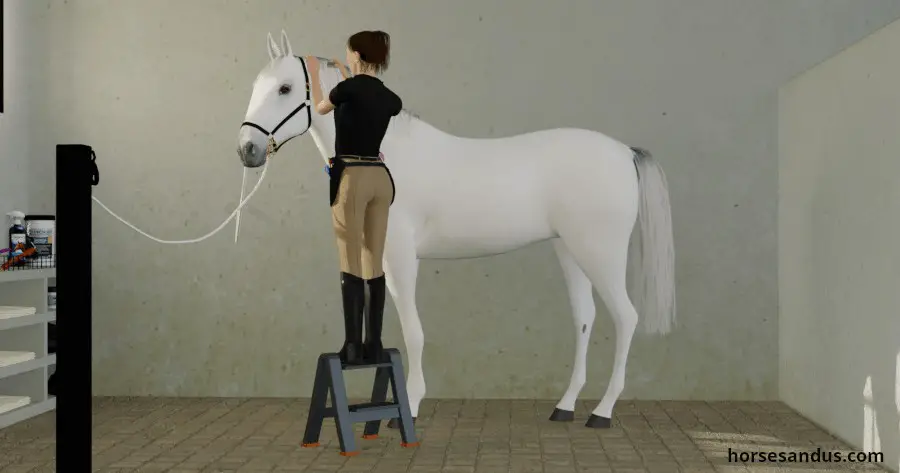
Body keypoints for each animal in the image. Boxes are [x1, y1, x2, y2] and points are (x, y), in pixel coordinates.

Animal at [239, 31, 676, 426]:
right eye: (257, 86)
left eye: (285, 88)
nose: (247, 150)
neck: (386, 155)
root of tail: (625, 152)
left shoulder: (401, 257)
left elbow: (413, 331)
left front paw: (410, 407)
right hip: (570, 251)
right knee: (585, 319)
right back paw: (565, 407)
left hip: (600, 252)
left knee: (625, 318)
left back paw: (602, 412)